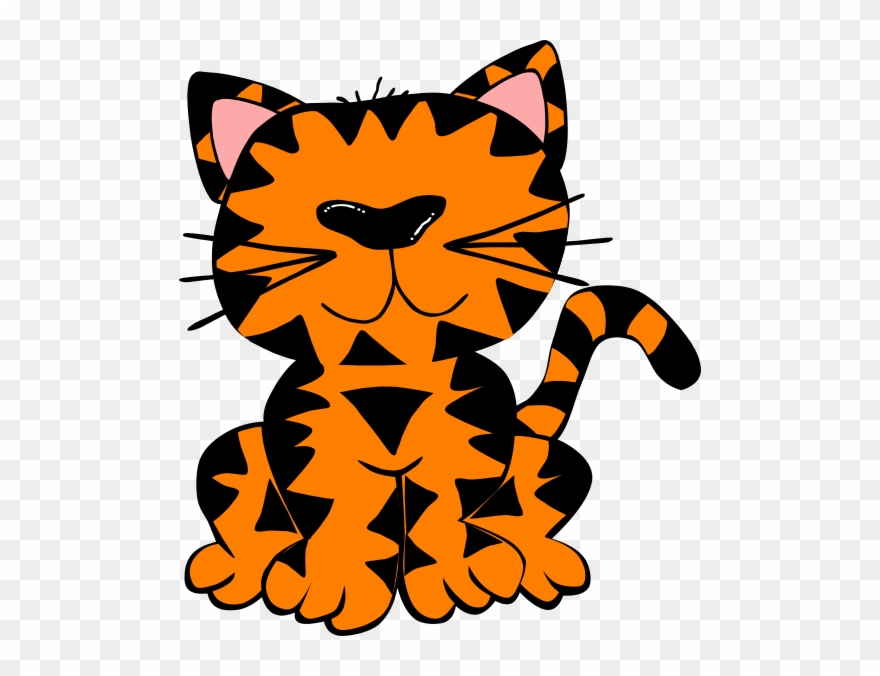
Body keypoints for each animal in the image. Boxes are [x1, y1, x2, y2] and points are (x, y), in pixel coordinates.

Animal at [181, 41, 701, 634]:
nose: (385, 220)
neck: (391, 366)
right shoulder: (309, 446)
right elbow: (339, 517)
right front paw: (335, 587)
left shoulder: (469, 442)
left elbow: (443, 516)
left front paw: (455, 580)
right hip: (237, 452)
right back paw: (236, 569)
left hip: (542, 458)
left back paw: (533, 562)